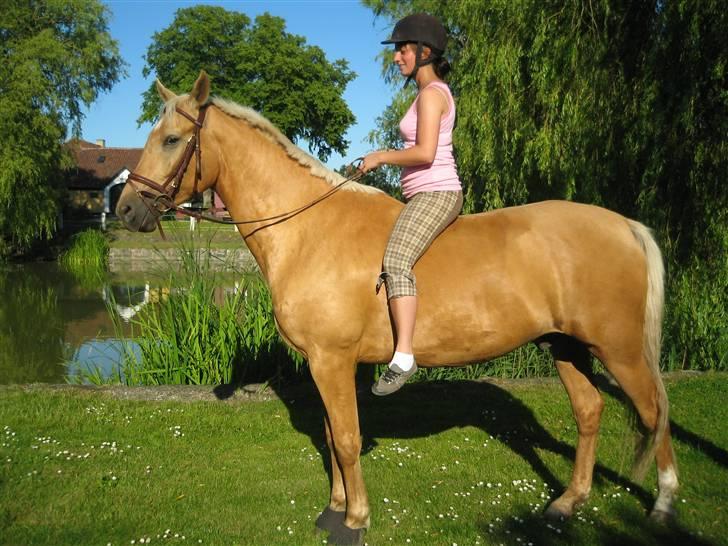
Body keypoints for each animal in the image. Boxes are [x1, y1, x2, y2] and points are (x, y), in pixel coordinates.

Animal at [114, 73, 676, 544]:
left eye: (171, 139)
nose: (124, 209)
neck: (308, 230)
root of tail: (625, 225)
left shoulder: (333, 360)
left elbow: (345, 439)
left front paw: (355, 520)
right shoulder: (323, 364)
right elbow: (330, 434)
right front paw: (334, 510)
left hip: (619, 349)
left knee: (654, 410)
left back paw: (664, 504)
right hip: (566, 346)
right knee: (590, 411)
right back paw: (567, 502)